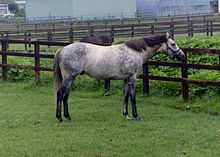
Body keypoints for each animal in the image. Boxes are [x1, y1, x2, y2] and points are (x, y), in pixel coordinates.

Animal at [53, 32, 186, 122]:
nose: (182, 55)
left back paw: (68, 117)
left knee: (66, 96)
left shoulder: (126, 79)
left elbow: (125, 96)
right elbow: (133, 97)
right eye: (173, 44)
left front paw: (126, 114)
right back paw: (60, 118)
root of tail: (62, 50)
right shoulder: (132, 79)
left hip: (71, 78)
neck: (135, 52)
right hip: (68, 78)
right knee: (60, 94)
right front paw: (136, 116)